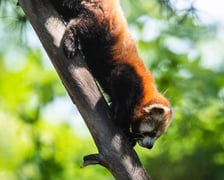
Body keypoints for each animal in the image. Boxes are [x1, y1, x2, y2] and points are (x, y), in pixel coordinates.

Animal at [50, 0, 172, 149]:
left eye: (158, 136)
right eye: (152, 133)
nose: (150, 146)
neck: (144, 89)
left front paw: (128, 133)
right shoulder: (128, 75)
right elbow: (120, 86)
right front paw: (120, 119)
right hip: (101, 20)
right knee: (81, 24)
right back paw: (70, 42)